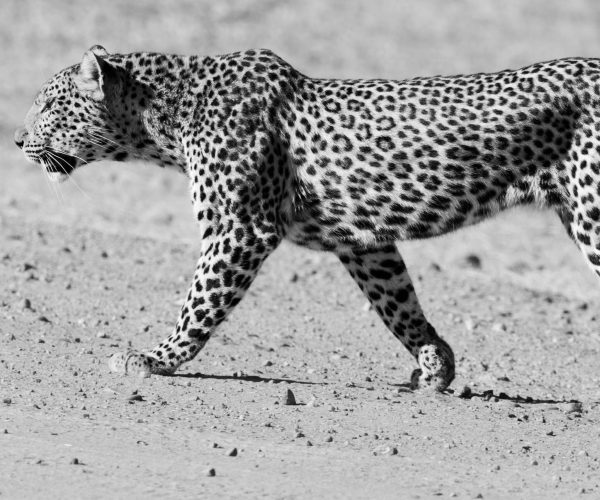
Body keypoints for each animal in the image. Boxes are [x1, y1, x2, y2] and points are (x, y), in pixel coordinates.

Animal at [12, 45, 600, 392]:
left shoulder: (240, 227)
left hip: (591, 215)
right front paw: (437, 364)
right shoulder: (362, 241)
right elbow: (399, 303)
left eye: (47, 106)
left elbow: (200, 301)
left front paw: (157, 358)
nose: (16, 140)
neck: (164, 119)